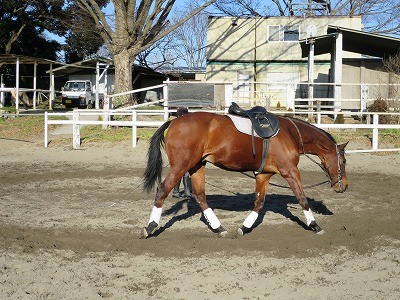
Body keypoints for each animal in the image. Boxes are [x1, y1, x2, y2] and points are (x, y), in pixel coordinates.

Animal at [142, 111, 348, 238]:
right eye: (344, 161)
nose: (344, 185)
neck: (290, 134)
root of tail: (174, 121)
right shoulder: (290, 171)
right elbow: (302, 198)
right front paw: (314, 225)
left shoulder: (264, 175)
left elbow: (259, 203)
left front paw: (245, 227)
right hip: (181, 166)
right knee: (162, 191)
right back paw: (150, 227)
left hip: (196, 166)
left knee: (200, 196)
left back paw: (219, 228)